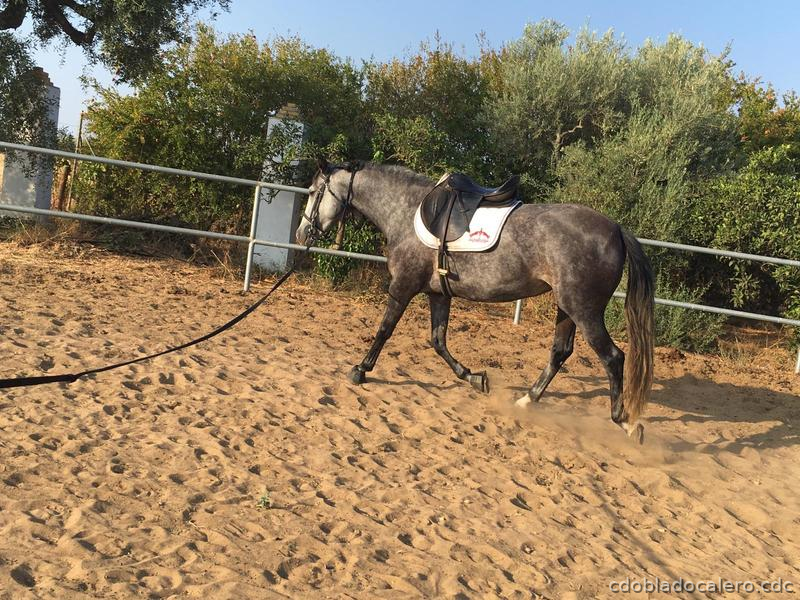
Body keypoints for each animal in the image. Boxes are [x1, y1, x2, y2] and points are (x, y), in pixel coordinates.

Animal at [296, 159, 654, 443]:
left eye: (313, 192)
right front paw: (475, 378)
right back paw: (526, 400)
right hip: (566, 308)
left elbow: (384, 329)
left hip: (584, 310)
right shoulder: (438, 294)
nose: (301, 234)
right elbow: (438, 341)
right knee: (560, 352)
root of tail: (616, 230)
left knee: (613, 358)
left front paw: (360, 370)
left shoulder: (403, 286)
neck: (405, 211)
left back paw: (625, 423)